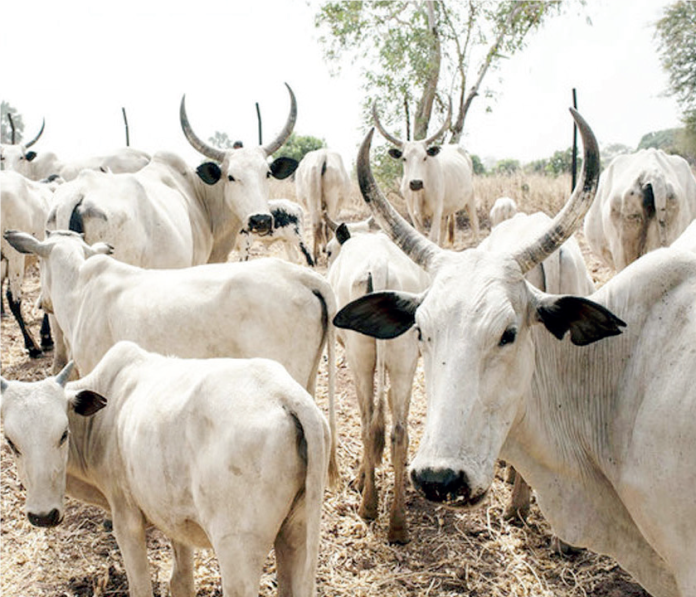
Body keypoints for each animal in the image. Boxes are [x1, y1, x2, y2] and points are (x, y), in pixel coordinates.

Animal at [0, 341, 330, 596]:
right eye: (10, 441)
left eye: (63, 434)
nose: (43, 516)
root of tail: (286, 395)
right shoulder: (176, 519)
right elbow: (181, 582)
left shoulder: (126, 519)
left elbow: (141, 587)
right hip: (296, 534)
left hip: (238, 550)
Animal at [326, 220, 429, 544]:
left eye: (327, 251)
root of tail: (380, 266)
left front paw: (361, 477)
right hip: (404, 360)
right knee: (398, 434)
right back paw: (398, 525)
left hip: (359, 357)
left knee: (369, 424)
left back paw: (368, 505)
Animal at [372, 102, 479, 246]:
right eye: (404, 158)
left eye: (425, 157)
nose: (416, 183)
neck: (420, 193)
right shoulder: (414, 214)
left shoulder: (437, 211)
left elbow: (432, 238)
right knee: (443, 231)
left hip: (470, 199)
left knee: (474, 223)